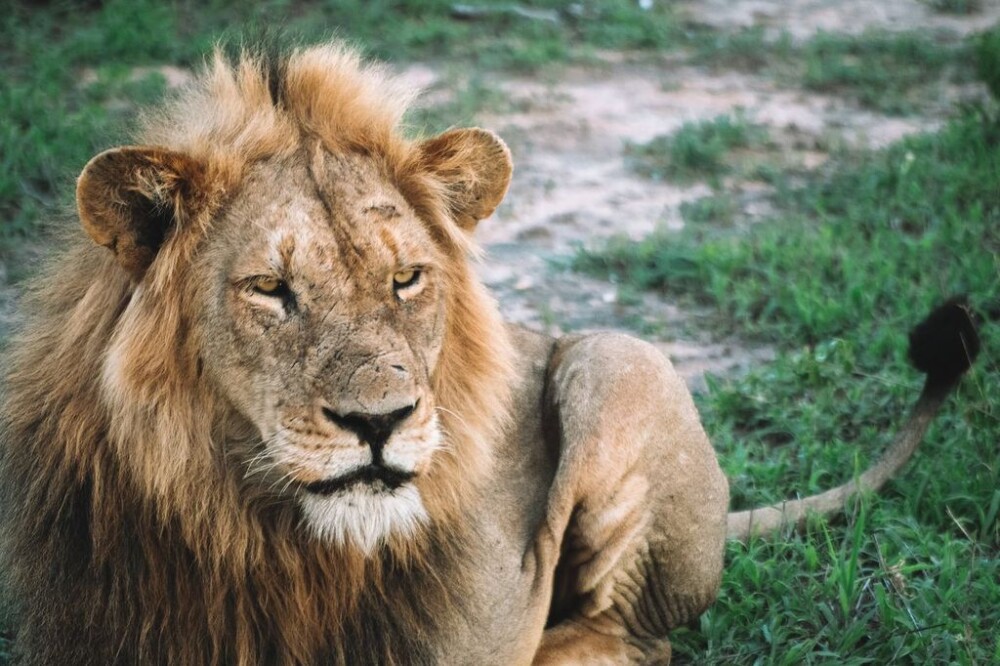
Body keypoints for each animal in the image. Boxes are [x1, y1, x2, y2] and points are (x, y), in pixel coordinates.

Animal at [0, 43, 978, 665]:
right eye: (270, 289)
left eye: (405, 279)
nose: (380, 422)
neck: (244, 529)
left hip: (618, 364)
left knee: (631, 635)